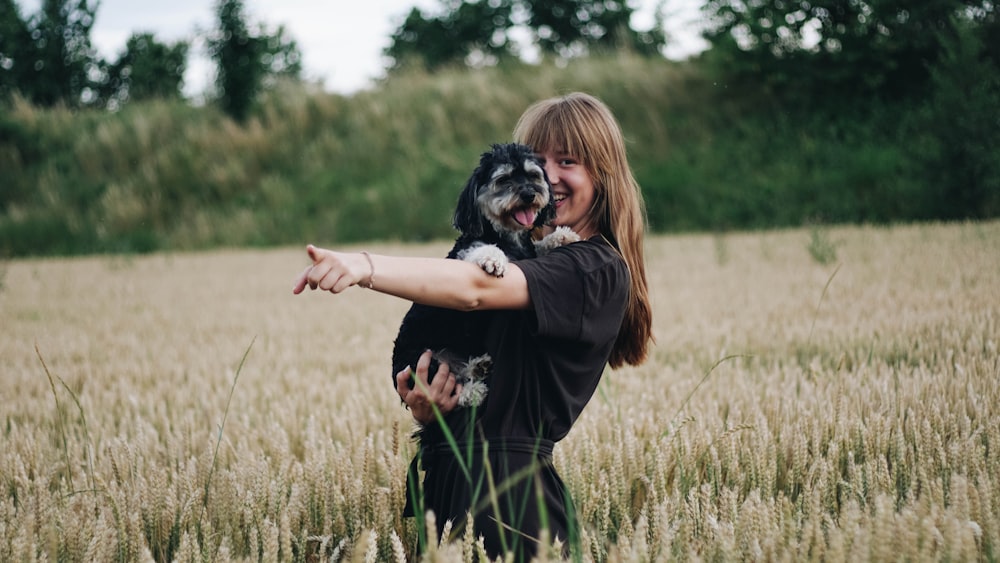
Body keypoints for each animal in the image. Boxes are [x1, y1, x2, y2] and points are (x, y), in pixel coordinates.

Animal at [390, 144, 580, 410]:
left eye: (533, 176)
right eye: (504, 180)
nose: (529, 194)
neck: (509, 238)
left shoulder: (528, 255)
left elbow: (539, 247)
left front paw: (562, 236)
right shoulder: (467, 251)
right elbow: (482, 249)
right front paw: (493, 259)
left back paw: (478, 366)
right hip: (419, 362)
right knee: (454, 390)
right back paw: (475, 390)